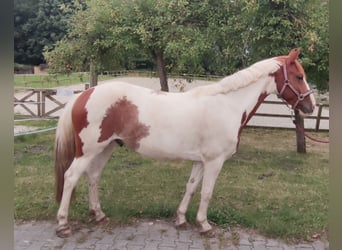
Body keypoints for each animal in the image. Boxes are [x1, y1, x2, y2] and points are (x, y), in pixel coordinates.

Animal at [54, 48, 316, 236]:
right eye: (299, 76)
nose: (310, 107)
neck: (227, 105)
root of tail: (85, 94)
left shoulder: (200, 161)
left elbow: (191, 187)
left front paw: (181, 219)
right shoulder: (214, 161)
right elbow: (207, 192)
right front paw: (205, 225)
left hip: (105, 148)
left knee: (93, 176)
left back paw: (98, 214)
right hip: (88, 150)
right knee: (71, 177)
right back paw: (63, 224)